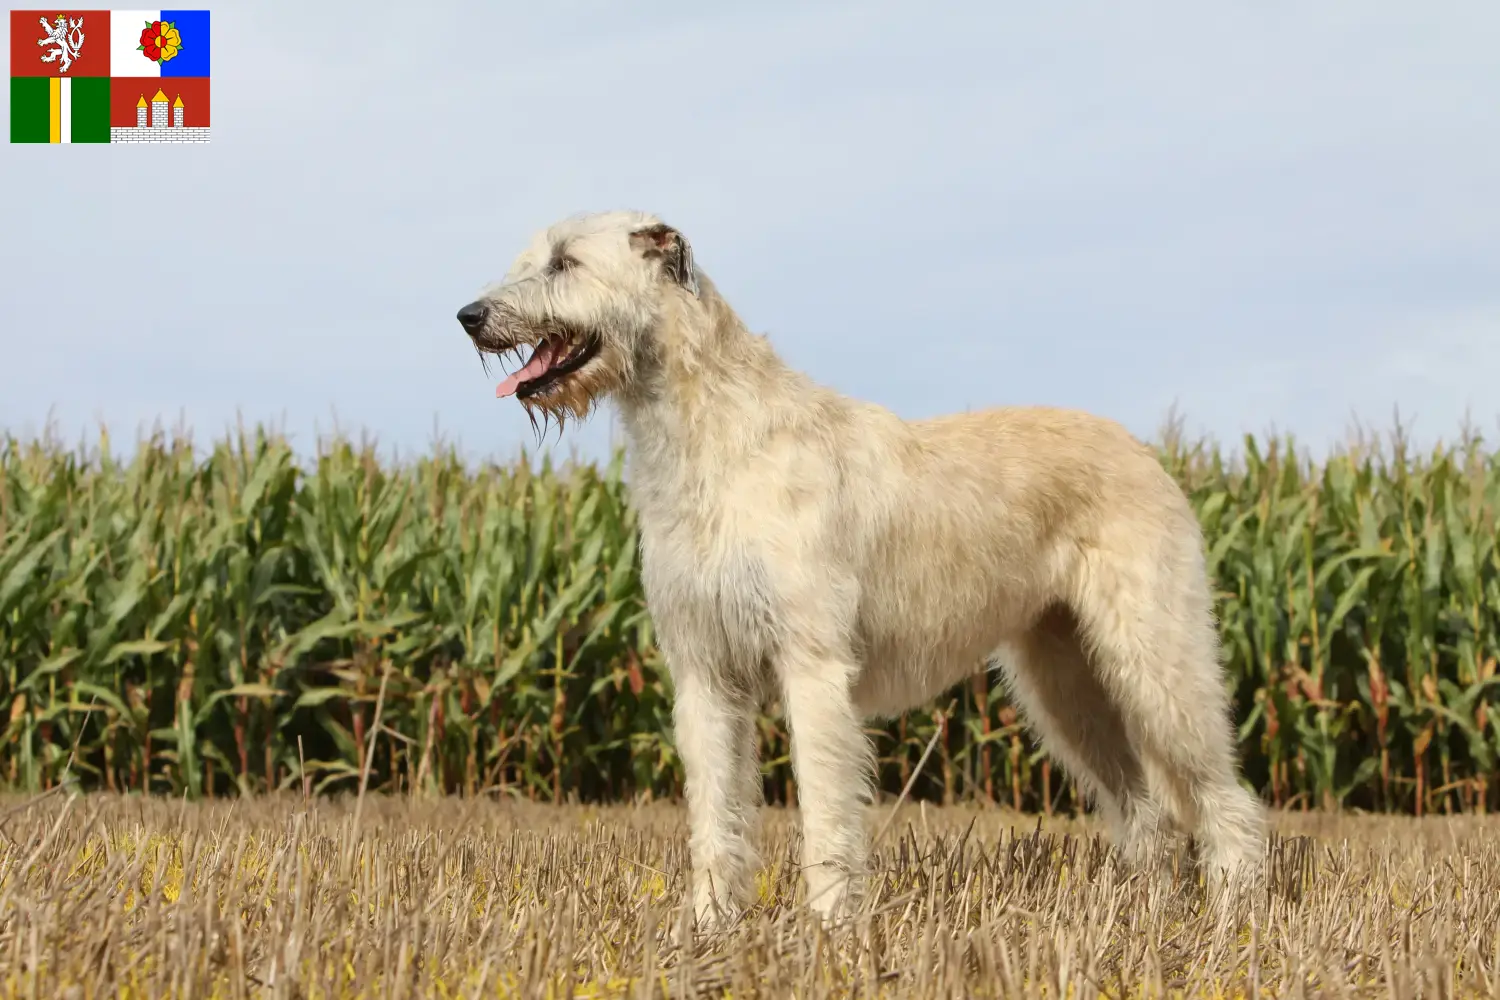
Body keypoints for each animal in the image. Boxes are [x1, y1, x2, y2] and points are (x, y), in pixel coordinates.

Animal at [456, 209, 1266, 929]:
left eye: (564, 261)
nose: (468, 314)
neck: (710, 432)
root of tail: (1147, 452)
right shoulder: (705, 673)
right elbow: (716, 813)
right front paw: (711, 927)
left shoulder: (813, 666)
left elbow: (825, 808)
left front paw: (829, 928)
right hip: (1064, 678)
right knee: (1146, 810)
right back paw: (1147, 923)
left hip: (1156, 661)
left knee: (1226, 802)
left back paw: (1234, 925)